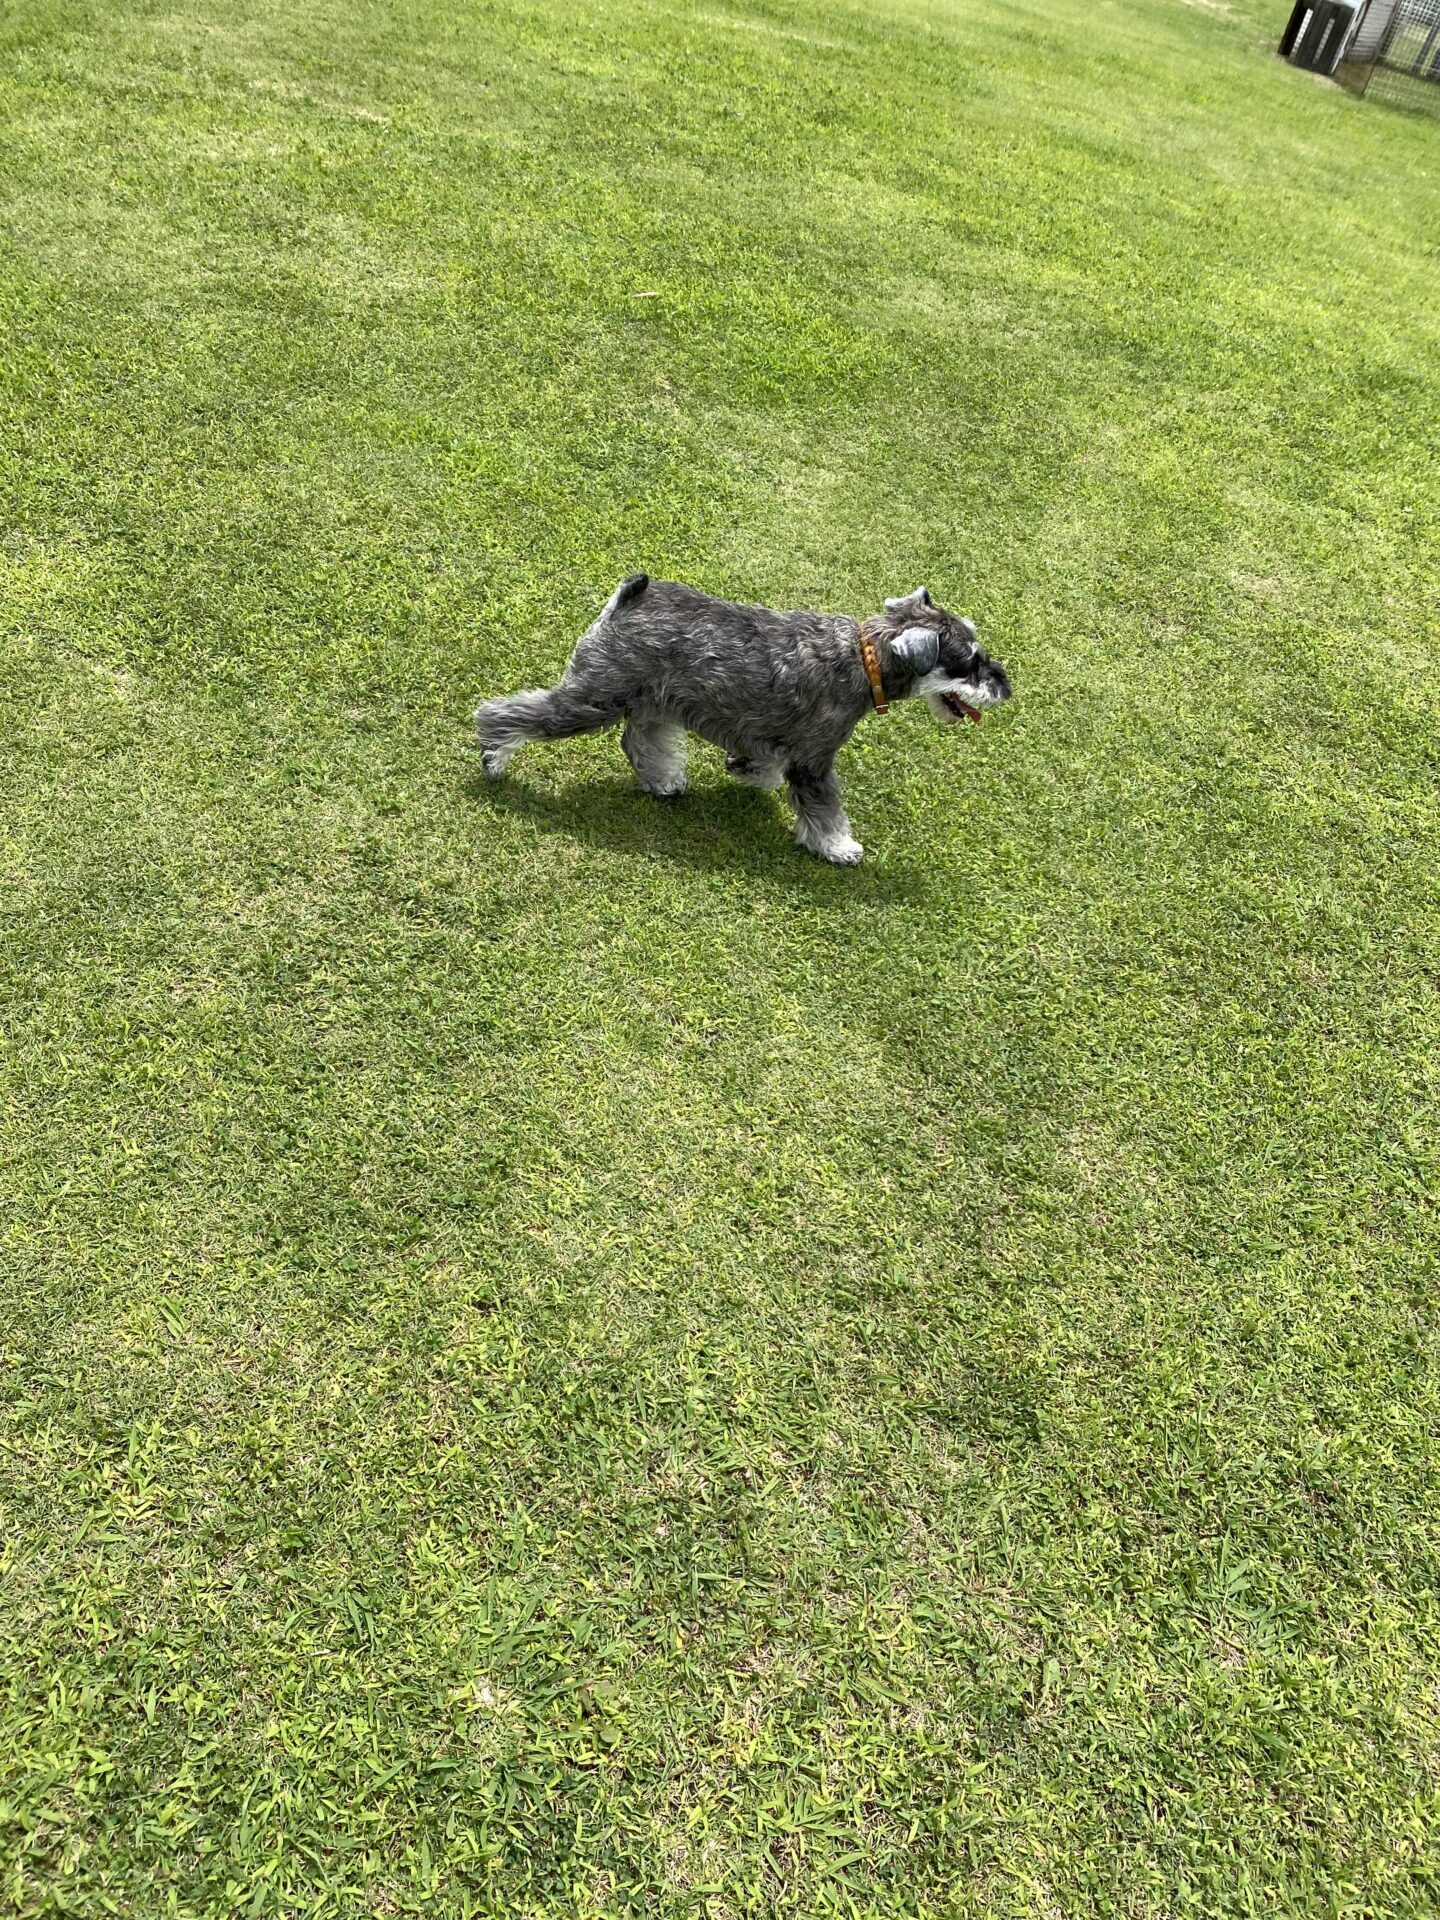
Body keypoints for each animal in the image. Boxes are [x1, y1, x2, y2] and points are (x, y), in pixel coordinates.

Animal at [475, 577, 1011, 864]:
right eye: (970, 661)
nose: (1004, 686)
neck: (865, 659)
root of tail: (629, 597)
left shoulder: (778, 740)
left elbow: (766, 764)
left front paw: (745, 769)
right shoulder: (816, 761)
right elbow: (824, 809)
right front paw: (839, 847)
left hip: (655, 701)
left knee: (641, 740)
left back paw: (665, 780)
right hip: (596, 697)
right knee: (515, 712)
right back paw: (493, 754)